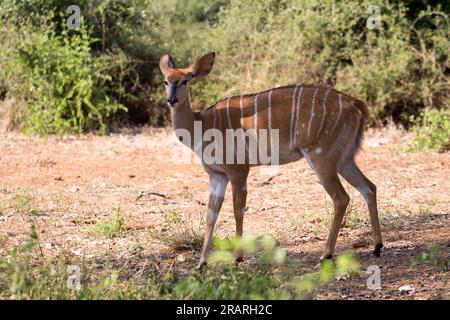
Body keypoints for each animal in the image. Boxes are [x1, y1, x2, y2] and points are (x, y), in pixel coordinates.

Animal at [159, 52, 384, 268]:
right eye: (166, 81)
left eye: (185, 81)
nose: (171, 100)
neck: (202, 125)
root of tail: (356, 104)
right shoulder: (217, 176)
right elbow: (211, 215)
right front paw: (201, 263)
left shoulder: (238, 170)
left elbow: (237, 210)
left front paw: (237, 258)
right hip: (344, 159)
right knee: (369, 187)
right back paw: (377, 247)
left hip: (321, 157)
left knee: (341, 197)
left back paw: (326, 254)